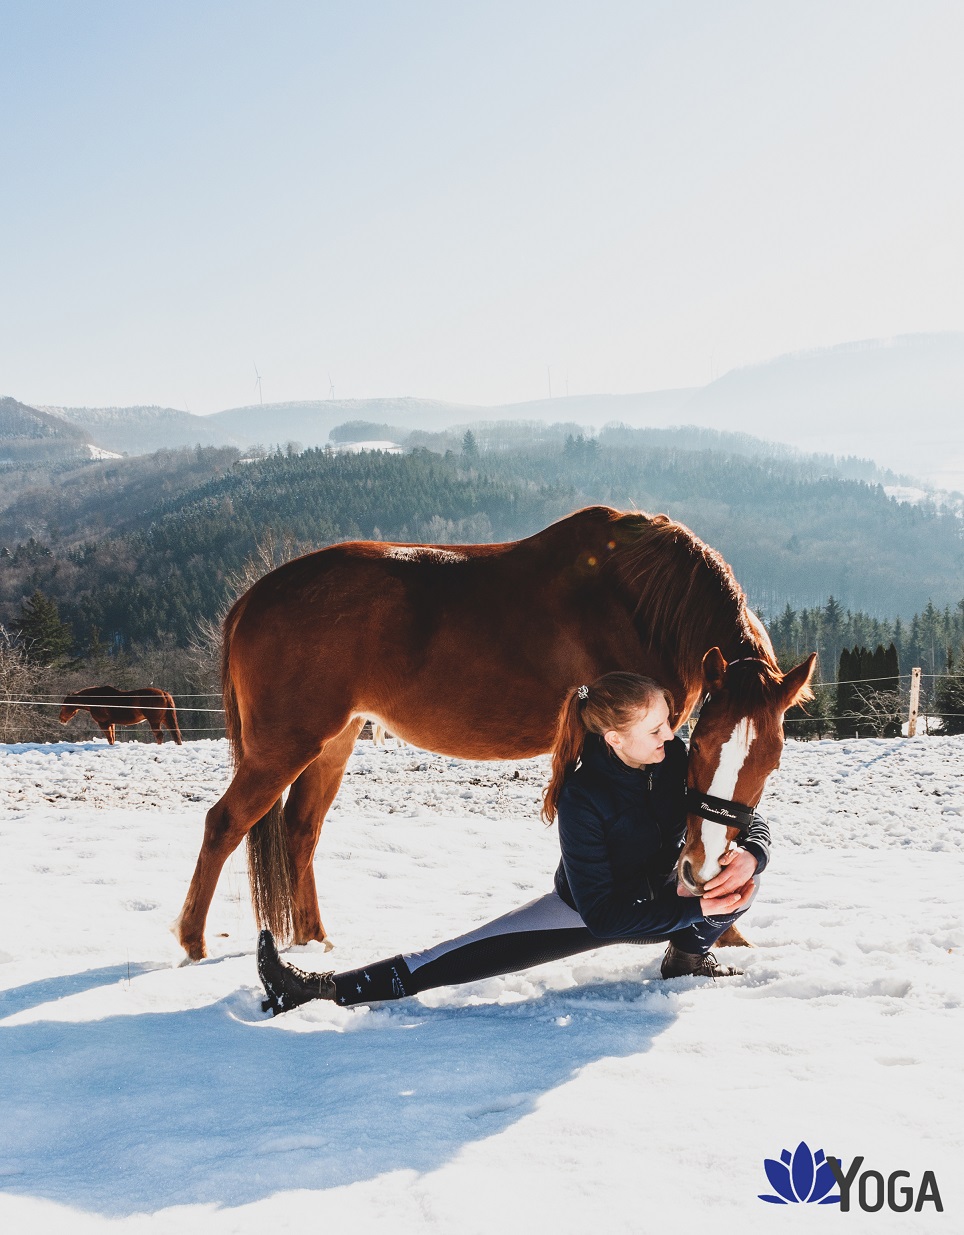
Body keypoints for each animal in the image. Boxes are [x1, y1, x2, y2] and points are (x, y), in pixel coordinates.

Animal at [175, 503, 814, 963]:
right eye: (702, 746)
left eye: (772, 761)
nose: (705, 875)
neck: (637, 602)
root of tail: (253, 598)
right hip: (283, 746)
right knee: (225, 823)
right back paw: (193, 944)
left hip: (334, 743)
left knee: (300, 831)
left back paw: (315, 940)